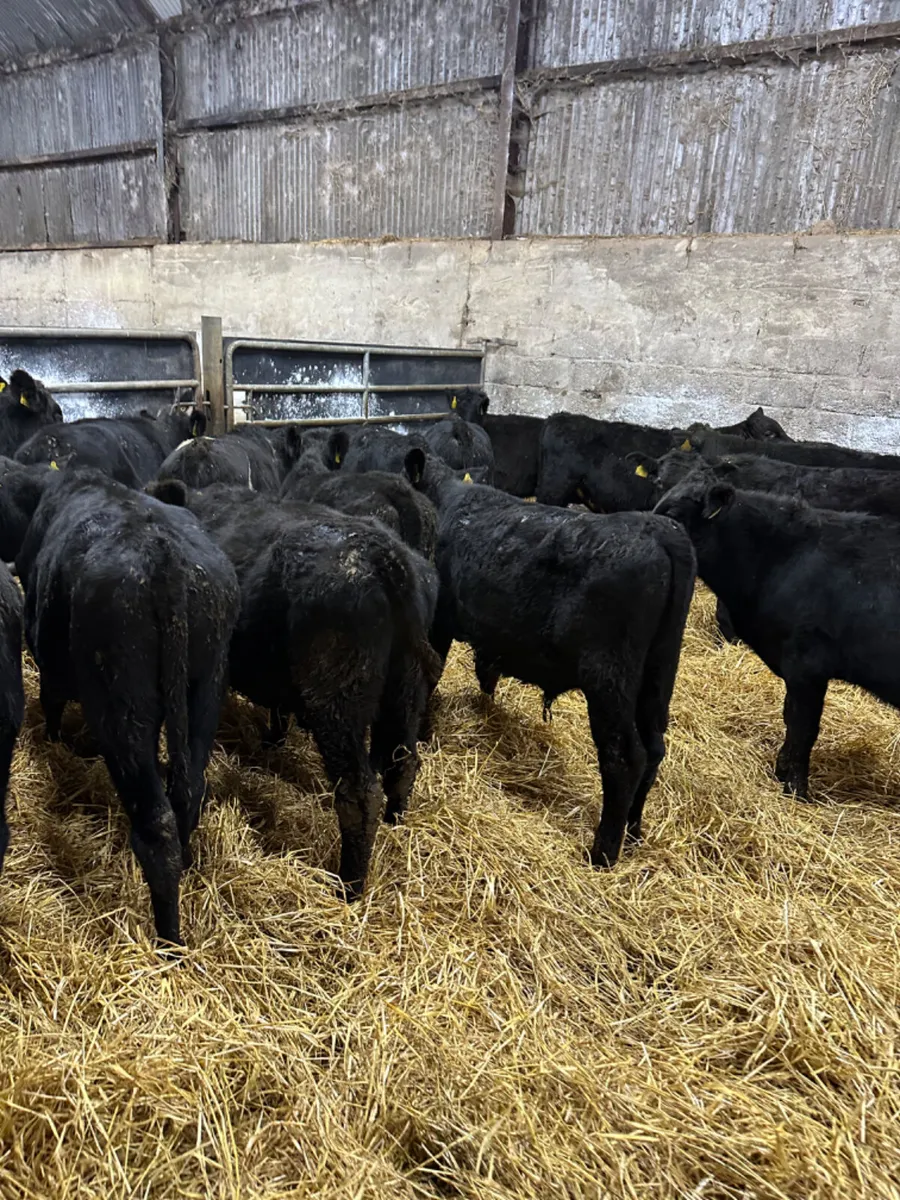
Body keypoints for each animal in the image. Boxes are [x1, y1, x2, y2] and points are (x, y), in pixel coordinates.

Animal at [15, 470, 240, 945]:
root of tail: (164, 559)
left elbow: (51, 702)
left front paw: (54, 741)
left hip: (123, 706)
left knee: (156, 825)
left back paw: (169, 941)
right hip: (207, 686)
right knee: (189, 793)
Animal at [146, 482, 441, 900]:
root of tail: (385, 555)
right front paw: (273, 739)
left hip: (337, 702)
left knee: (360, 794)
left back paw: (349, 887)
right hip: (406, 693)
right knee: (404, 764)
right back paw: (396, 825)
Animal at [403, 448, 696, 867]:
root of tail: (659, 529)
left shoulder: (440, 622)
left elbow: (431, 676)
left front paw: (424, 733)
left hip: (609, 677)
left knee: (625, 757)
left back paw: (603, 853)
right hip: (658, 675)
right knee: (655, 750)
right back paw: (634, 832)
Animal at [654, 471, 900, 800]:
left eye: (673, 515)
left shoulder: (807, 666)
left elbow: (803, 728)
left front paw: (796, 790)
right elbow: (789, 717)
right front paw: (781, 770)